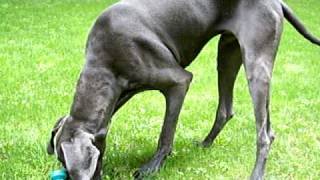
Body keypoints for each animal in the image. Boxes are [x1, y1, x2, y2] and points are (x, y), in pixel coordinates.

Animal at [47, 0, 320, 179]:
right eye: (60, 160)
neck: (104, 62)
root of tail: (276, 1)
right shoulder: (123, 89)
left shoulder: (178, 82)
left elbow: (166, 133)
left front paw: (152, 167)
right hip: (227, 53)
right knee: (230, 111)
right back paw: (205, 144)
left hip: (256, 62)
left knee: (264, 133)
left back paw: (256, 174)